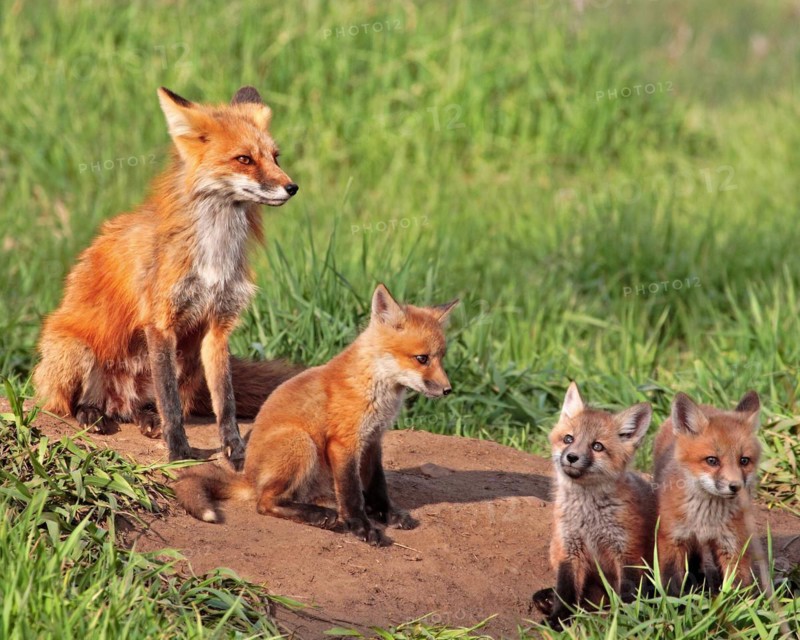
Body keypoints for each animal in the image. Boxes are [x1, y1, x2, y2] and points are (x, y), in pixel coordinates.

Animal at [33, 86, 301, 468]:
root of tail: (119, 403)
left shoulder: (218, 327)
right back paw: (92, 414)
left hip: (187, 360)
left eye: (275, 157)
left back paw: (146, 418)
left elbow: (225, 403)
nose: (292, 187)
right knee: (71, 404)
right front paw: (178, 452)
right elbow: (172, 404)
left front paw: (235, 451)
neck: (214, 255)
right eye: (244, 159)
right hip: (78, 350)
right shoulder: (160, 322)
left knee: (142, 407)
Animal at [175, 284, 458, 546]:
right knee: (264, 502)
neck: (375, 389)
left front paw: (385, 514)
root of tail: (247, 477)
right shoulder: (343, 443)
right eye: (422, 358)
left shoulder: (373, 440)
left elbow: (378, 485)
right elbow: (351, 492)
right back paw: (320, 516)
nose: (448, 390)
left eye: (441, 358)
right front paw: (362, 527)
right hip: (301, 442)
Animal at [536, 382, 656, 628]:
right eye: (568, 439)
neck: (588, 518)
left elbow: (628, 594)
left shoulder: (627, 551)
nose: (571, 457)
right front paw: (558, 619)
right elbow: (566, 591)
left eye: (597, 446)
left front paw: (625, 623)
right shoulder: (569, 549)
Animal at [654, 391, 763, 595]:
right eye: (712, 460)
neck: (705, 517)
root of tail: (706, 404)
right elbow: (672, 588)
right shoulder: (672, 538)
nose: (735, 486)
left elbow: (736, 586)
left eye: (744, 460)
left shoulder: (732, 544)